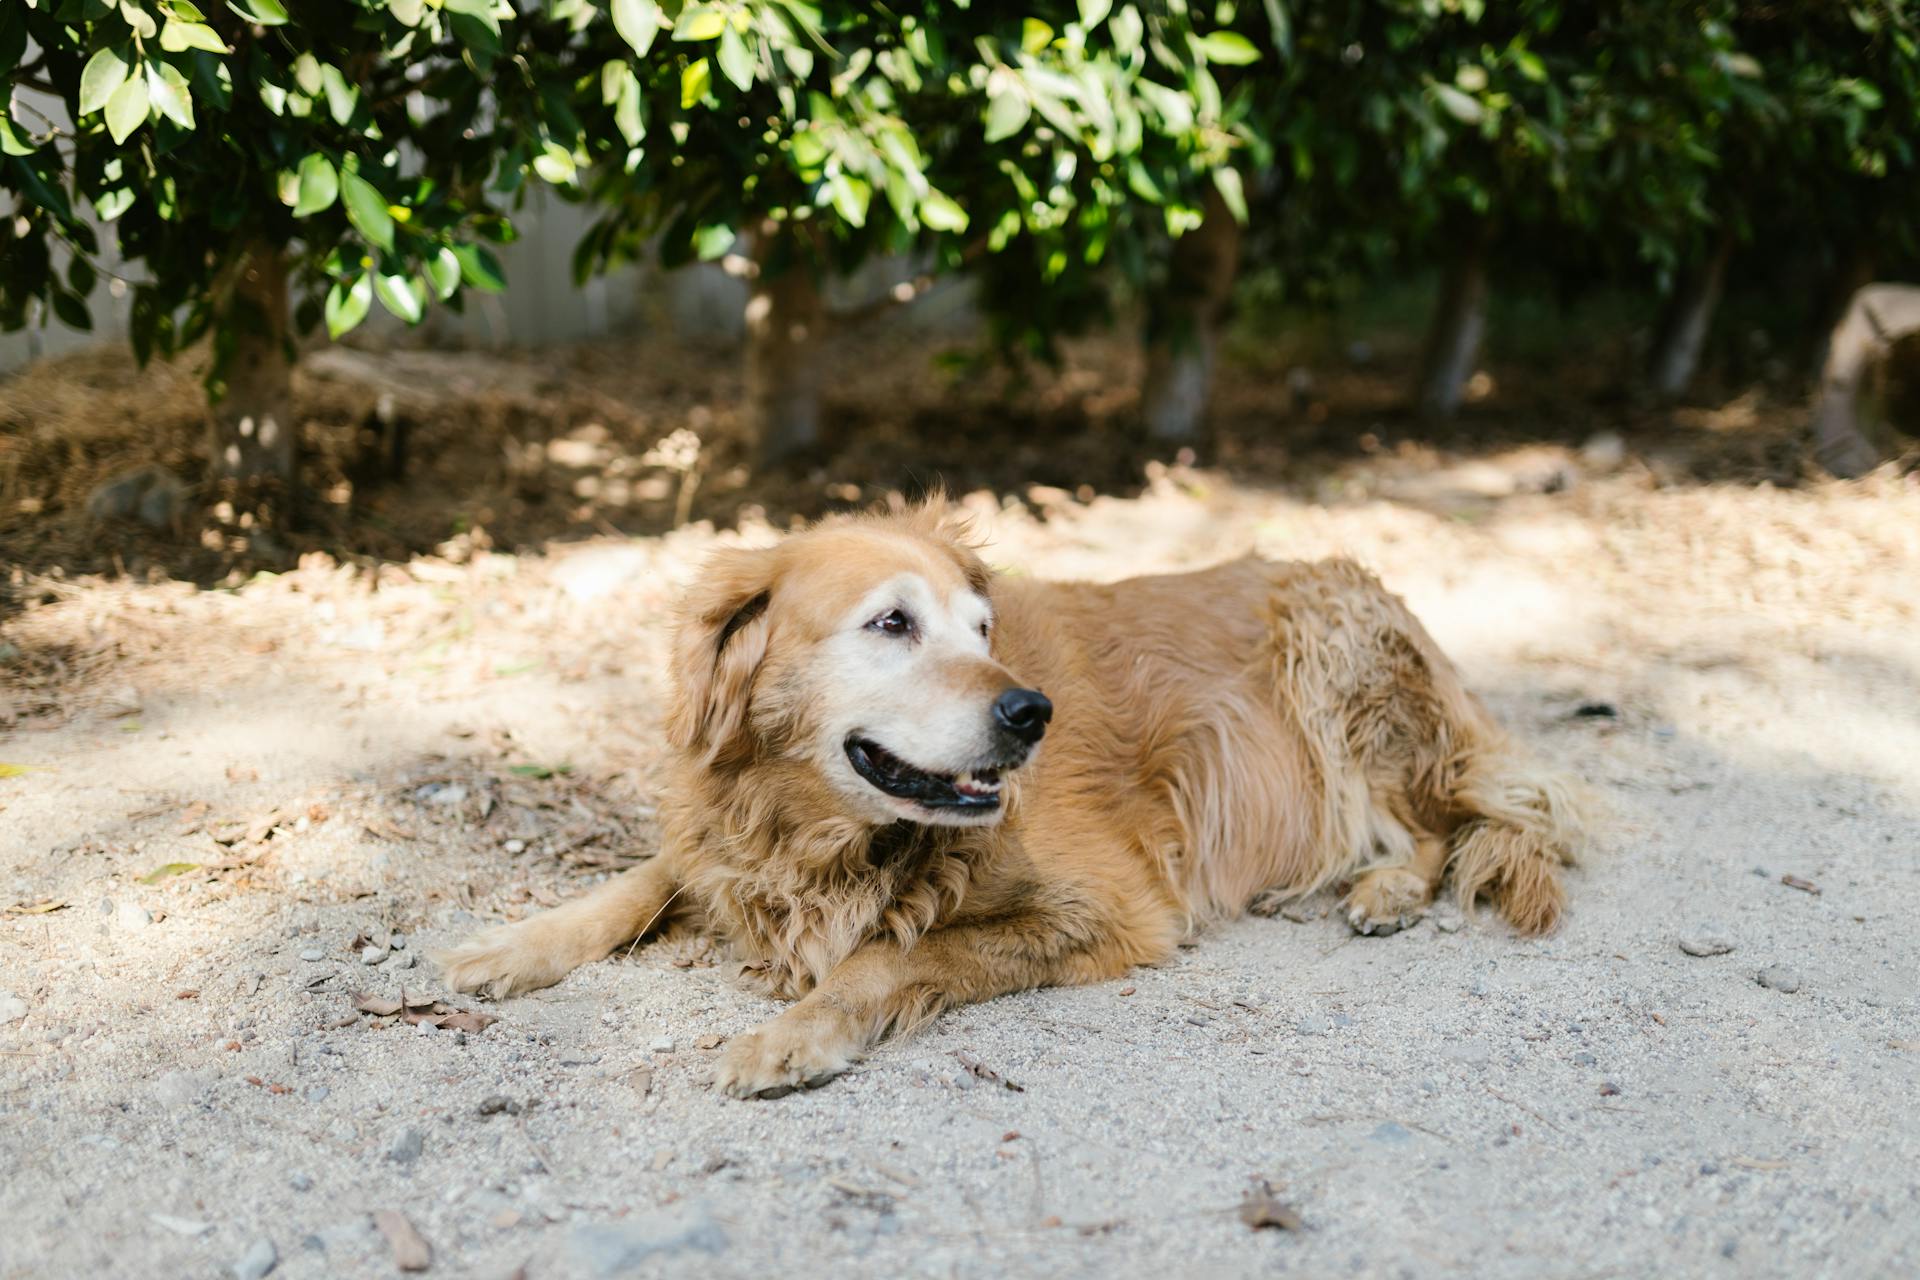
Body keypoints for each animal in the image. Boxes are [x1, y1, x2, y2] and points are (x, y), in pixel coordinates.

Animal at [439, 498, 1589, 1105]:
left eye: (983, 629)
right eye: (891, 622)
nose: (1033, 712)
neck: (825, 830)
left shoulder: (1113, 907)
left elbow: (887, 954)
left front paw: (795, 1034)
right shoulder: (724, 837)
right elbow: (642, 879)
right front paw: (513, 944)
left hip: (1332, 661)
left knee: (1441, 821)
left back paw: (1387, 885)